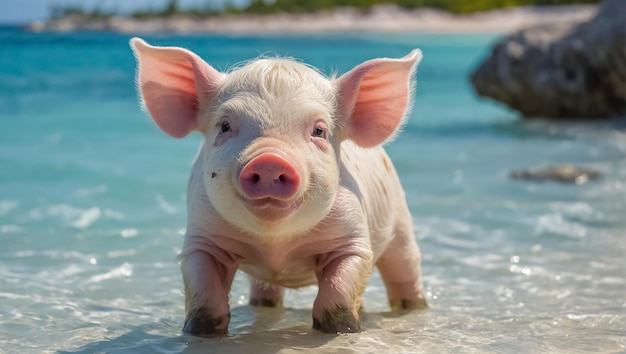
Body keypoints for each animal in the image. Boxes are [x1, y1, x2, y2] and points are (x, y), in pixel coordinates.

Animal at [130, 37, 426, 336]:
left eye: (319, 130)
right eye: (224, 126)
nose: (269, 159)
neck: (276, 245)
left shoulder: (353, 237)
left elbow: (338, 294)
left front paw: (342, 331)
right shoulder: (201, 237)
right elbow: (206, 300)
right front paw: (200, 333)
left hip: (401, 223)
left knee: (404, 270)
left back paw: (414, 309)